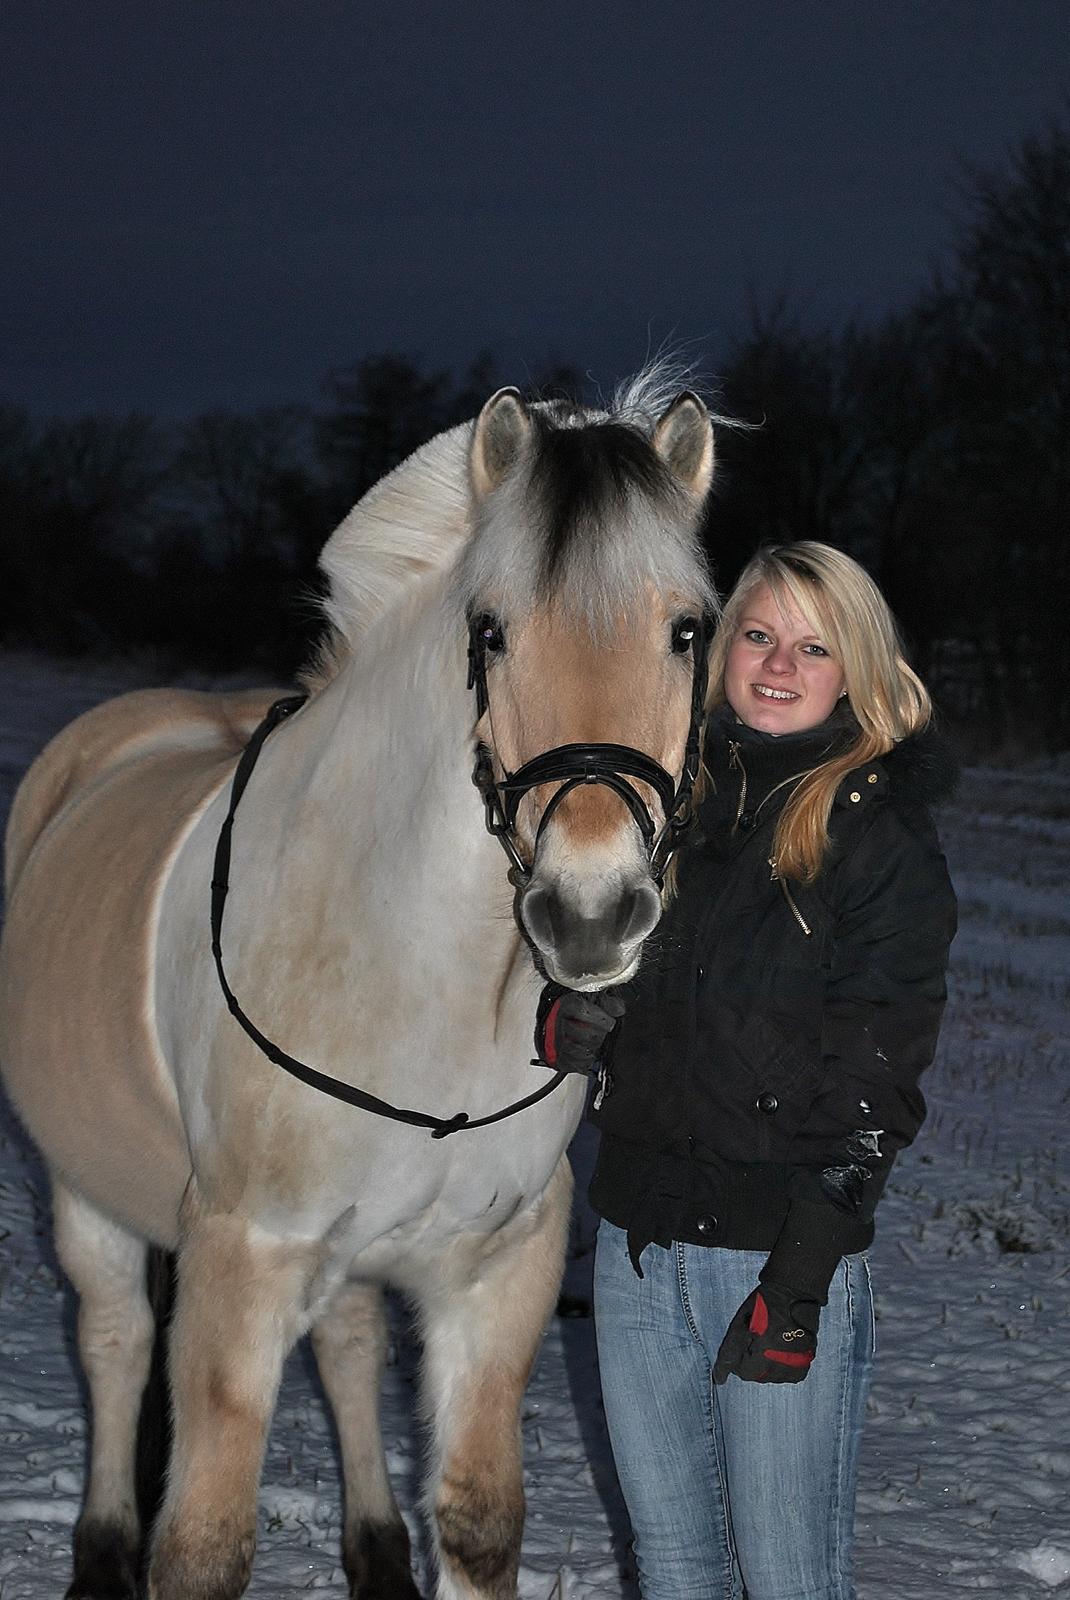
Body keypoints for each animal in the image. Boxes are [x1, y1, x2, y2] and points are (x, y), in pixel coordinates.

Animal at [0, 374, 716, 1600]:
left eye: (685, 628)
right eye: (491, 628)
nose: (590, 910)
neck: (412, 976)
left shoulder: (496, 1275)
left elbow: (475, 1520)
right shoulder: (240, 1267)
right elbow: (201, 1548)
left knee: (343, 1348)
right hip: (85, 1194)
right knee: (114, 1342)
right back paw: (99, 1552)